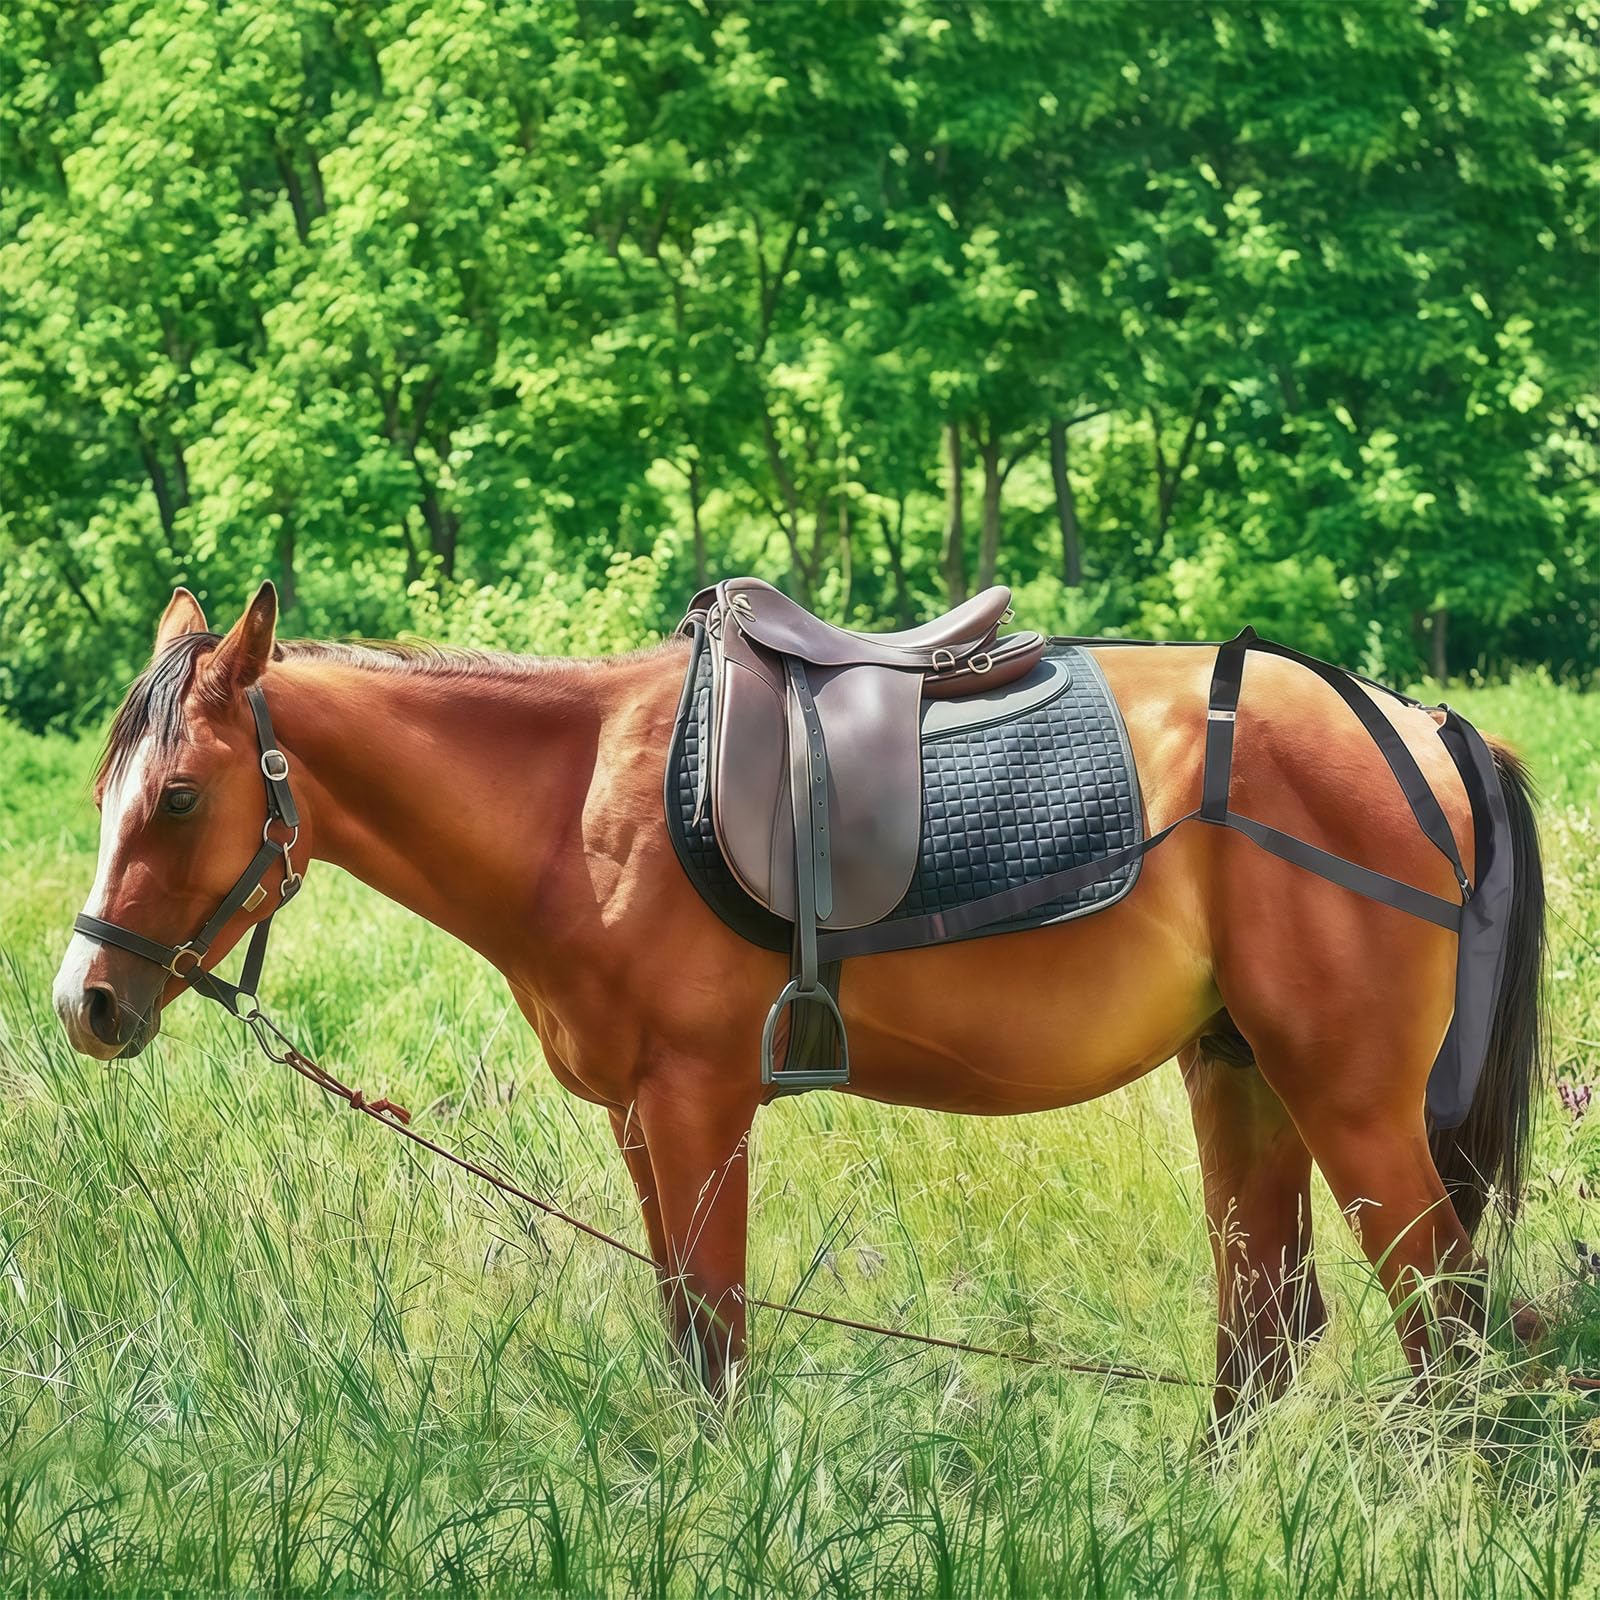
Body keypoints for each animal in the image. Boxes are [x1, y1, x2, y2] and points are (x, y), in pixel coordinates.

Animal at [52, 583, 1545, 1420]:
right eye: (107, 789)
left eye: (175, 796)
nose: (87, 1001)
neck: (574, 802)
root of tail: (1414, 726)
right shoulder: (640, 1120)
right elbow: (684, 1335)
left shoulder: (699, 1104)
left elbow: (715, 1345)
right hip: (1239, 1075)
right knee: (1265, 1335)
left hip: (1349, 1102)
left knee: (1444, 1328)